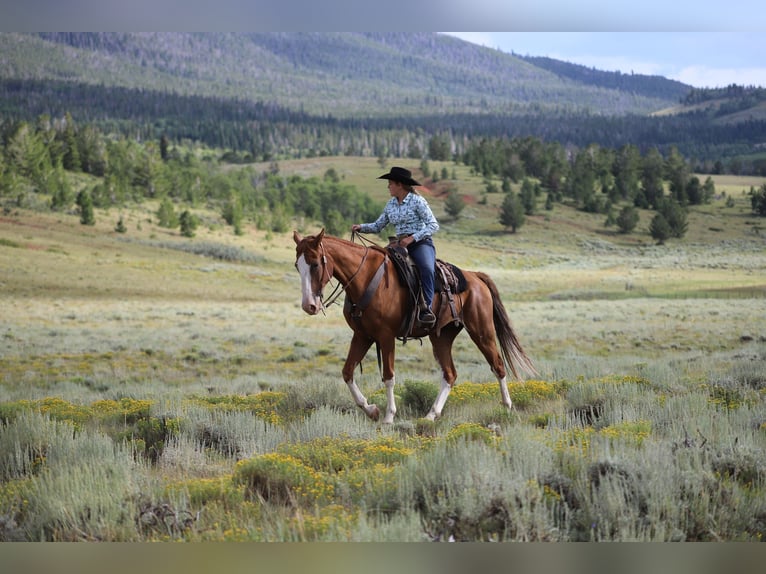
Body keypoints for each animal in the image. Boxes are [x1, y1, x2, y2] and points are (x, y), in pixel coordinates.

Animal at [294, 232, 540, 426]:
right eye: (298, 266)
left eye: (315, 264)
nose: (309, 306)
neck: (365, 279)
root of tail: (475, 276)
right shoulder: (362, 336)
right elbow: (347, 372)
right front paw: (371, 410)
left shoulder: (386, 336)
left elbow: (388, 376)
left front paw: (389, 416)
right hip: (441, 337)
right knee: (450, 374)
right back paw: (431, 415)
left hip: (482, 331)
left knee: (498, 365)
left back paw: (507, 407)